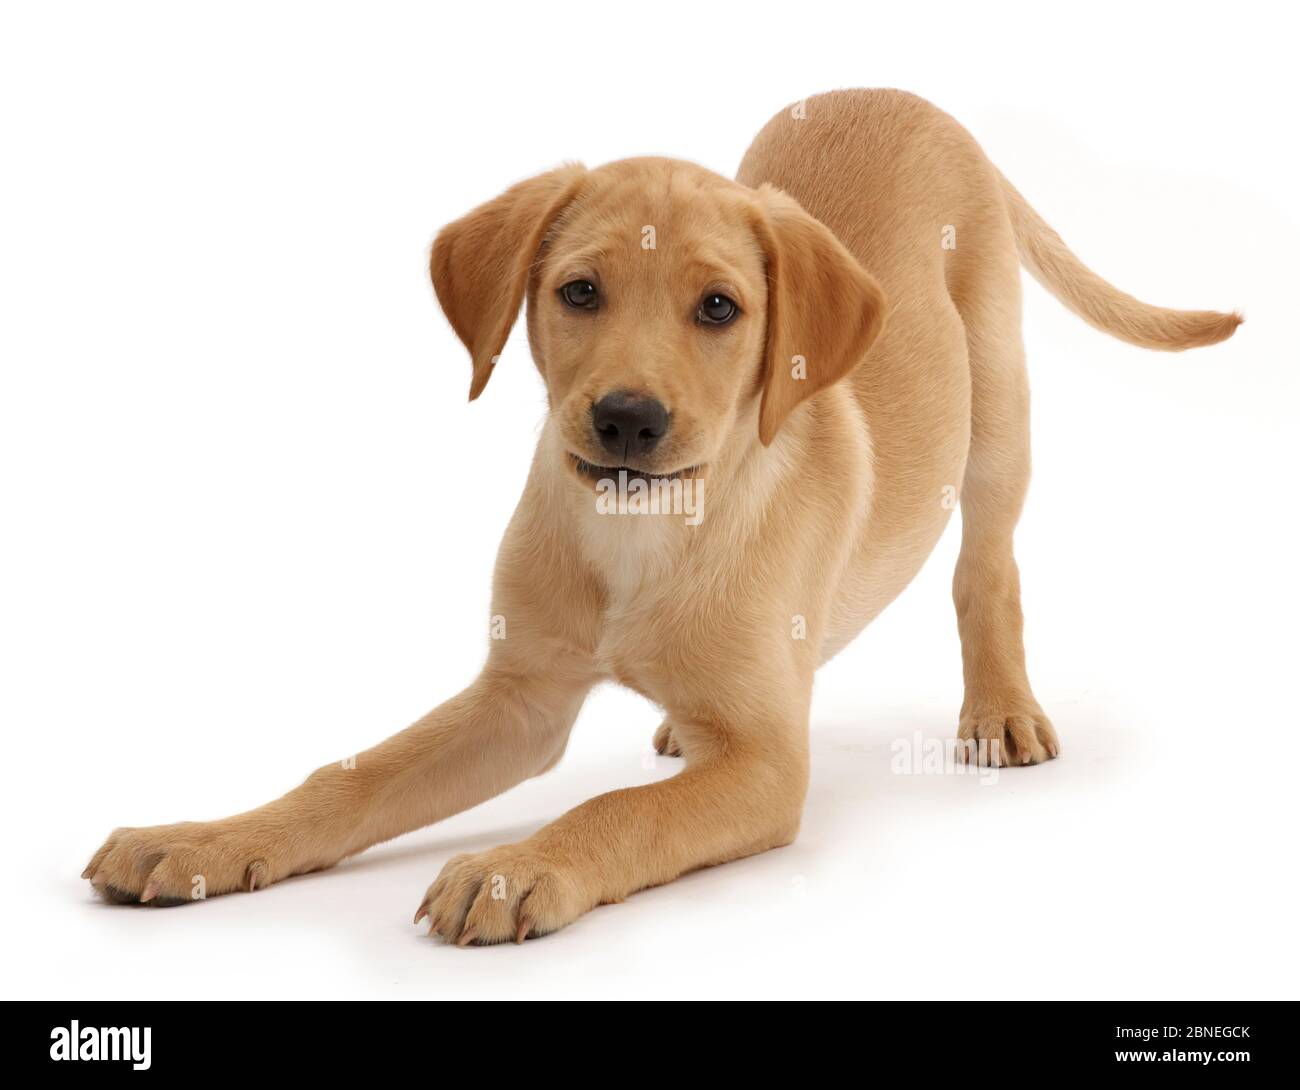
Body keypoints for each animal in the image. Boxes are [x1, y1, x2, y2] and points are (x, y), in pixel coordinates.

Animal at [81, 91, 1237, 946]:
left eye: (718, 308)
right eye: (579, 292)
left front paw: (516, 866)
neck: (644, 537)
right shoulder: (519, 697)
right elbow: (350, 775)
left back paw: (999, 706)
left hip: (995, 407)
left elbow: (619, 809)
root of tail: (910, 97)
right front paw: (202, 839)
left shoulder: (768, 767)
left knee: (985, 565)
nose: (627, 418)